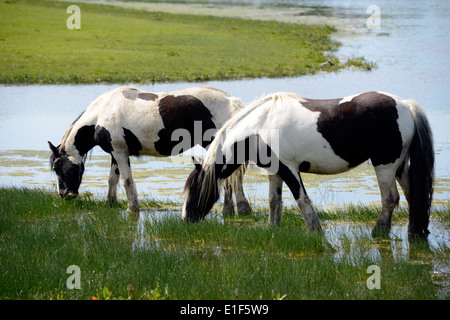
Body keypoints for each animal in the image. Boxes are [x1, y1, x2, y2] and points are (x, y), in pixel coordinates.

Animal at [50, 86, 253, 214]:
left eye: (59, 168)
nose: (64, 195)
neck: (102, 113)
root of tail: (229, 101)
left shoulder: (120, 152)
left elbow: (127, 180)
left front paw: (132, 207)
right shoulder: (115, 153)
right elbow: (112, 179)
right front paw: (110, 202)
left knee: (228, 178)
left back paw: (230, 210)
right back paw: (240, 209)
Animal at [181, 90, 434, 238]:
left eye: (194, 189)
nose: (186, 219)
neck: (259, 127)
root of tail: (406, 106)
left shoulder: (289, 169)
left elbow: (302, 199)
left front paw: (315, 230)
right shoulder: (275, 171)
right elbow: (274, 201)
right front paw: (272, 227)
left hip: (385, 166)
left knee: (390, 198)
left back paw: (379, 231)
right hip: (399, 167)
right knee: (413, 195)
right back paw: (414, 231)